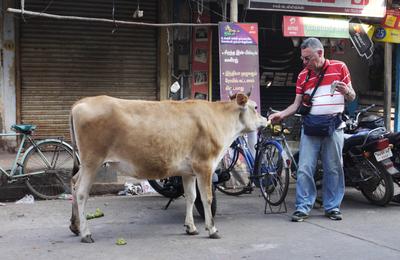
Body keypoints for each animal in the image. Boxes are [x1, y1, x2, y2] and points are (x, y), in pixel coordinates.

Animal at [69, 93, 268, 242]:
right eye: (255, 107)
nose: (266, 119)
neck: (220, 120)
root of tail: (82, 101)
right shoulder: (205, 165)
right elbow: (207, 199)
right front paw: (212, 229)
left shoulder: (189, 171)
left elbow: (191, 196)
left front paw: (191, 227)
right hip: (92, 161)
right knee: (81, 192)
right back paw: (86, 233)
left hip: (86, 164)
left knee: (73, 183)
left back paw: (75, 226)